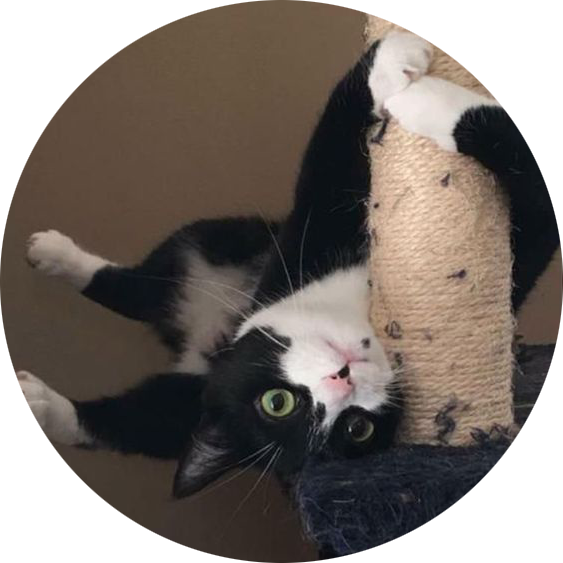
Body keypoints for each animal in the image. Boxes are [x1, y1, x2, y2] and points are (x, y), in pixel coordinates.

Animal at [15, 30, 556, 498]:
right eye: (280, 405)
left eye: (356, 428)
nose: (343, 380)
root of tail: (197, 344)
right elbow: (335, 148)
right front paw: (402, 73)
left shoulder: (299, 249)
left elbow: (331, 150)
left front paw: (396, 65)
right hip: (188, 399)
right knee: (131, 417)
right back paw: (43, 402)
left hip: (217, 243)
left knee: (139, 287)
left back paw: (53, 256)